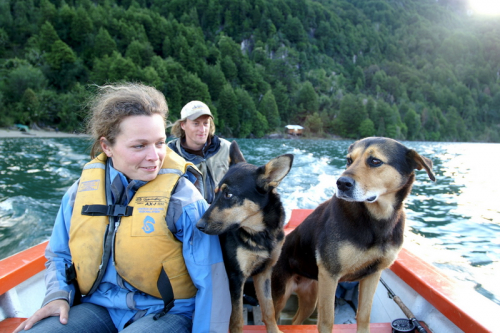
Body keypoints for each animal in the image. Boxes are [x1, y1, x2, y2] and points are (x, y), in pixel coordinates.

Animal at [196, 141, 292, 332]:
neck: (260, 233)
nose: (198, 225)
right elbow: (237, 318)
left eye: (228, 194)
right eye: (216, 192)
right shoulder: (235, 277)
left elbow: (269, 309)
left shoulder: (264, 272)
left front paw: (274, 330)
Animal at [272, 137, 436, 332]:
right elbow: (327, 321)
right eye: (349, 160)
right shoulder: (330, 275)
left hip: (311, 296)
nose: (341, 183)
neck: (377, 219)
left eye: (375, 161)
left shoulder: (373, 274)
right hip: (280, 294)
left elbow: (364, 315)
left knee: (296, 320)